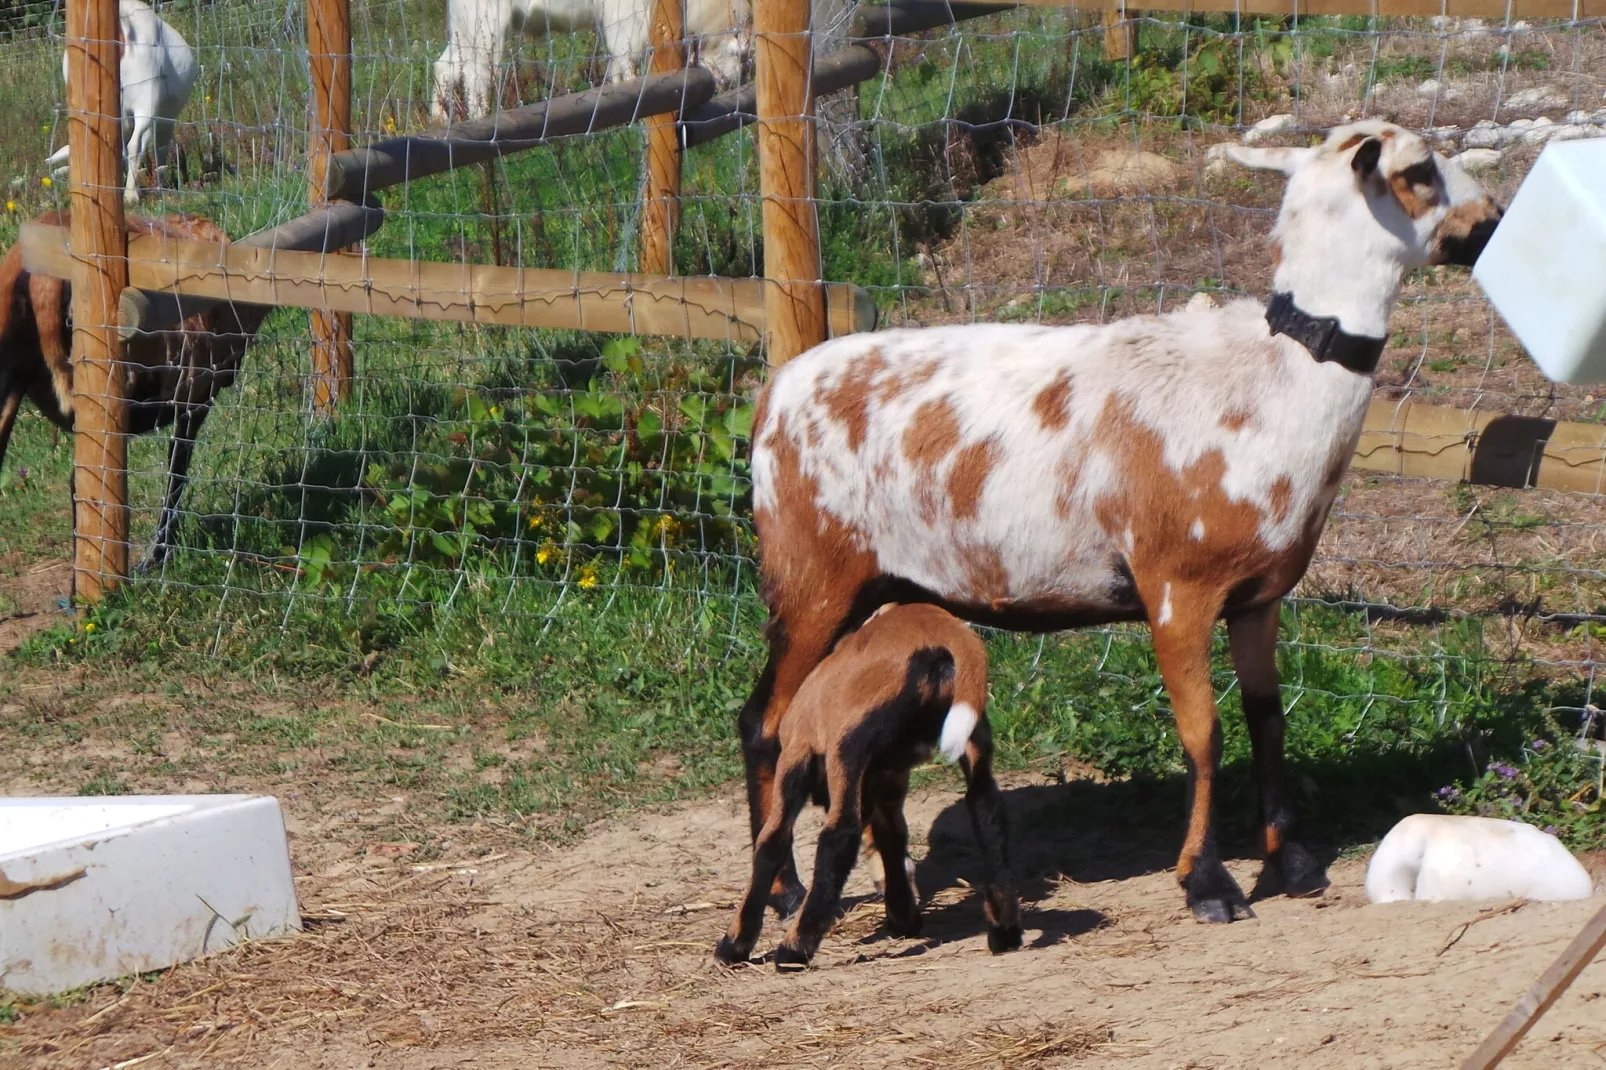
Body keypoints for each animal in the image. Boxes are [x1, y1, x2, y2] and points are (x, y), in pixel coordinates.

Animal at [430, 0, 748, 120]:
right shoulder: (626, 18)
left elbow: (619, 62)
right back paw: (481, 115)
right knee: (478, 73)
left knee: (445, 67)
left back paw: (440, 119)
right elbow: (627, 58)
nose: (731, 83)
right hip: (487, 25)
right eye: (740, 54)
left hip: (465, 25)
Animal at [713, 600, 1014, 963]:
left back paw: (794, 949)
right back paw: (1004, 932)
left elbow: (773, 841)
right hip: (973, 739)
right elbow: (892, 836)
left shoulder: (798, 755)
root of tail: (943, 645)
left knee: (839, 834)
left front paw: (735, 944)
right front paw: (903, 917)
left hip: (848, 744)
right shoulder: (888, 778)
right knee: (986, 811)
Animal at [738, 116, 1503, 918]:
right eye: (1419, 171)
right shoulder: (1176, 587)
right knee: (765, 723)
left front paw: (1291, 862)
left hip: (870, 589)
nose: (1493, 218)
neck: (1276, 380)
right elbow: (1204, 733)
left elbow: (1267, 720)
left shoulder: (1256, 597)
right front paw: (1207, 882)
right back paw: (786, 889)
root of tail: (771, 398)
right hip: (812, 576)